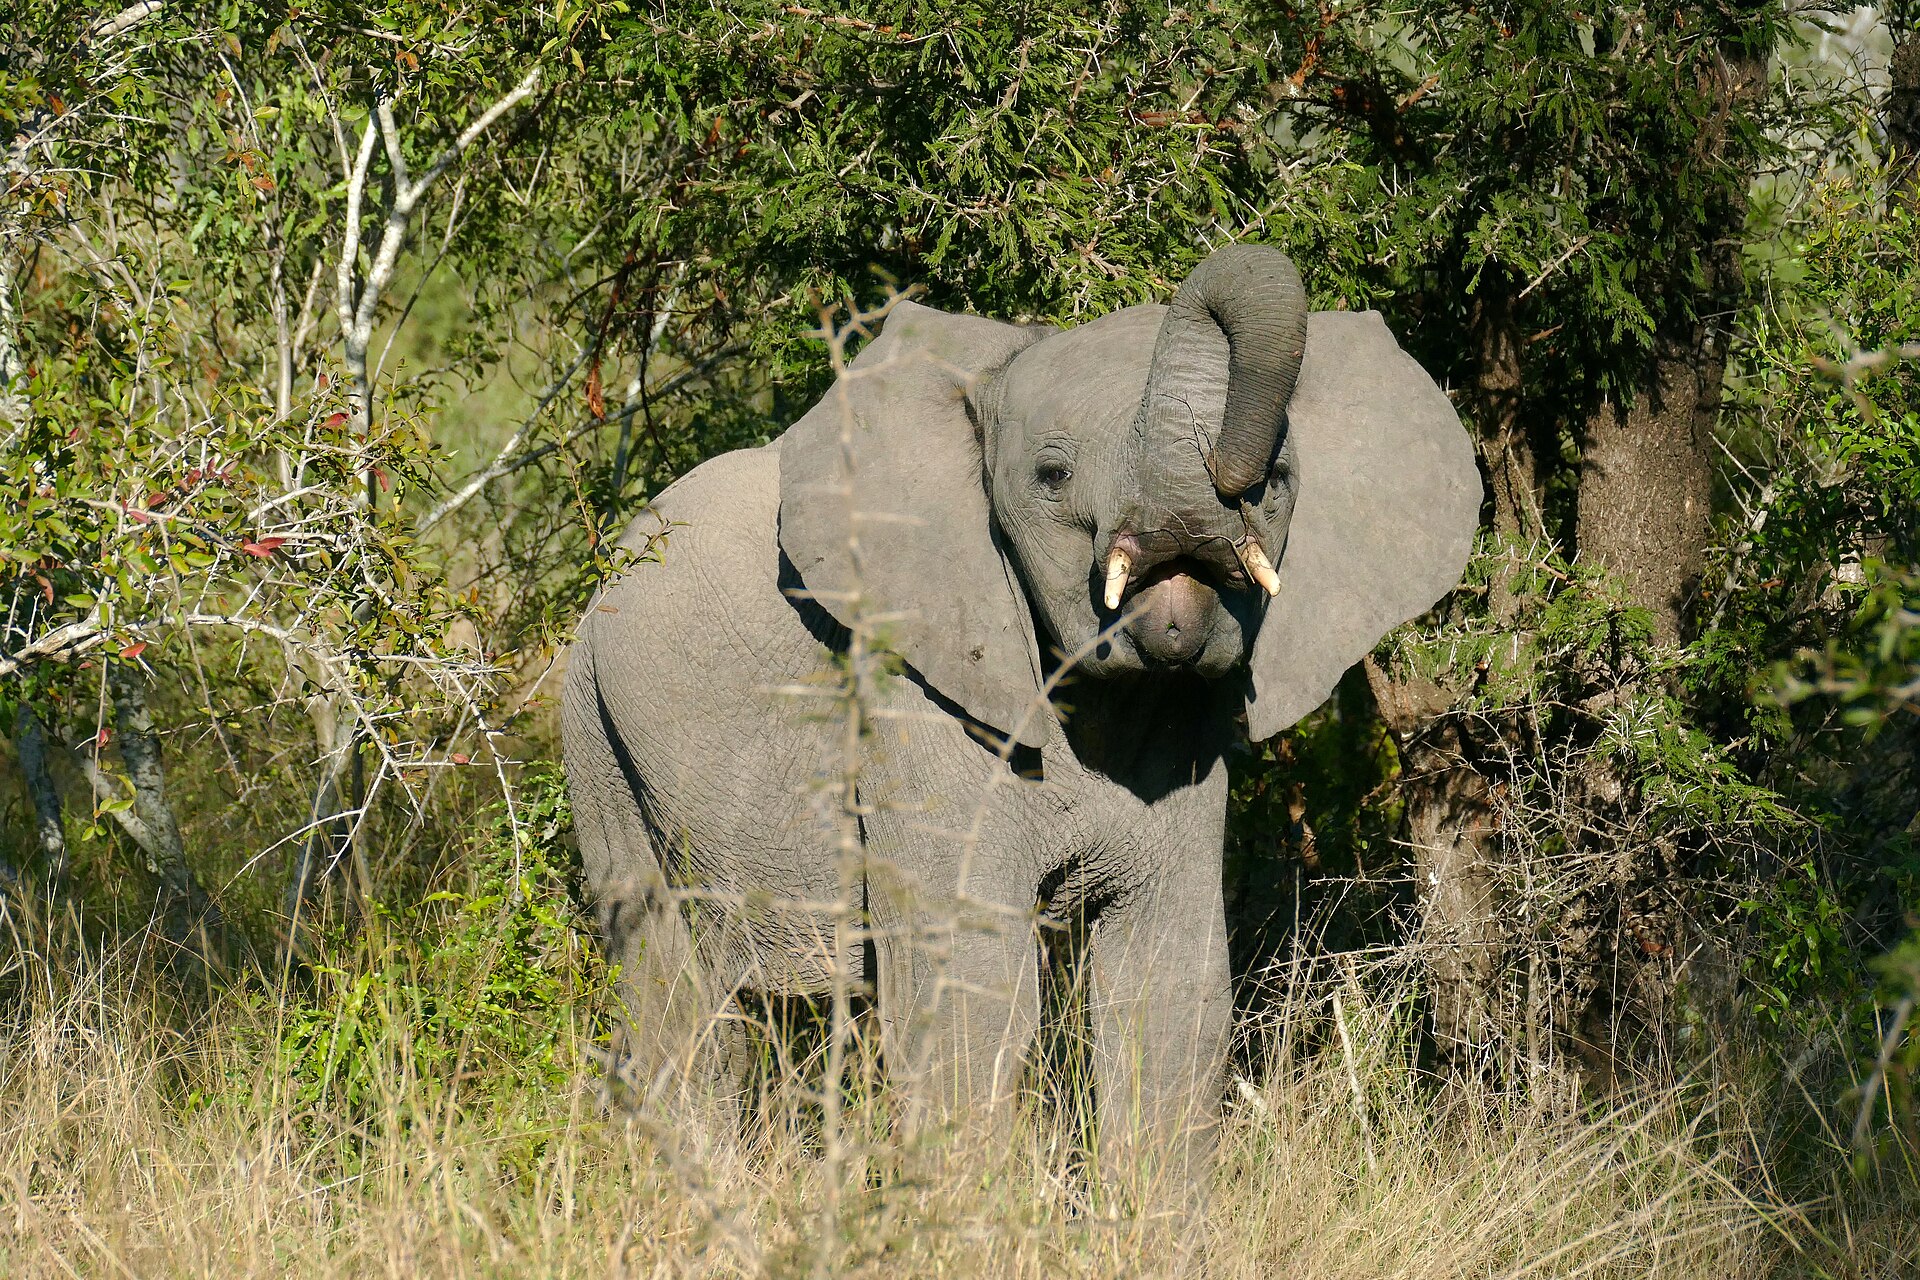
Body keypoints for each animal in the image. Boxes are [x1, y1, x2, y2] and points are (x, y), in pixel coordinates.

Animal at [562, 244, 1480, 1195]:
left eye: (1285, 481)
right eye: (1052, 477)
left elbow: (1172, 982)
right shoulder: (913, 689)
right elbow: (972, 984)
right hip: (596, 725)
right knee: (672, 990)